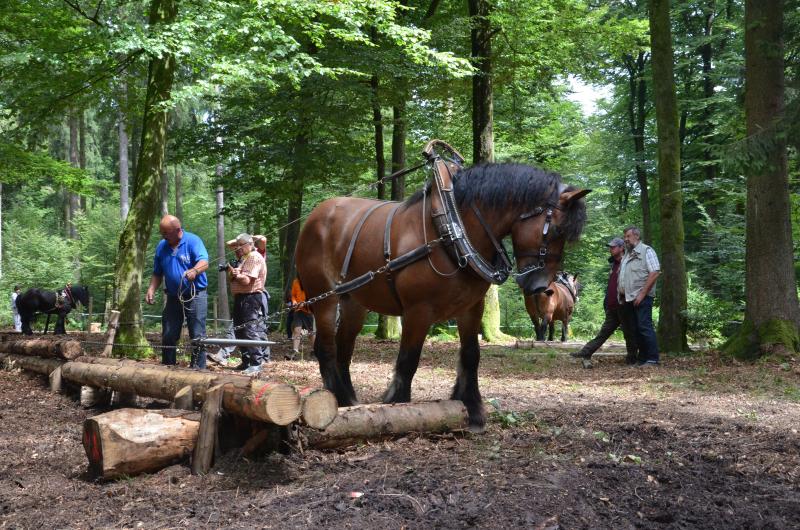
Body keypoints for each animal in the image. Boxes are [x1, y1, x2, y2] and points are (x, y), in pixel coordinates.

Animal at [294, 140, 588, 428]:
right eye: (557, 230)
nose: (540, 287)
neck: (452, 229)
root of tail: (315, 216)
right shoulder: (418, 310)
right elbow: (408, 359)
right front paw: (399, 407)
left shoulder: (471, 308)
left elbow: (471, 355)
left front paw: (472, 409)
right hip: (324, 298)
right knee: (326, 348)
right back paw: (338, 398)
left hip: (354, 301)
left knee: (344, 348)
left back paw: (348, 401)